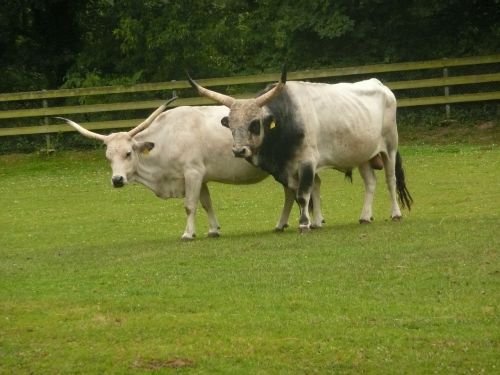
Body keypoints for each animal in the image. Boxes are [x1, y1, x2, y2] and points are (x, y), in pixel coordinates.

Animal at [57, 99, 324, 241]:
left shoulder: (192, 173)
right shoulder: (200, 177)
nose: (117, 179)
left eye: (128, 153)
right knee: (300, 189)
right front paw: (213, 229)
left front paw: (188, 234)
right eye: (108, 157)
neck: (166, 139)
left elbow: (190, 205)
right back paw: (288, 223)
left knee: (303, 188)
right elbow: (206, 203)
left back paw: (309, 221)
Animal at [186, 67, 412, 232]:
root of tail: (381, 86)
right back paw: (365, 216)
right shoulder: (287, 170)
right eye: (231, 124)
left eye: (254, 124)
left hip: (390, 148)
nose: (239, 151)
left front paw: (304, 224)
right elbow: (301, 195)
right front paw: (312, 221)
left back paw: (396, 214)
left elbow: (303, 195)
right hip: (363, 154)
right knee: (370, 182)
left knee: (390, 180)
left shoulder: (307, 163)